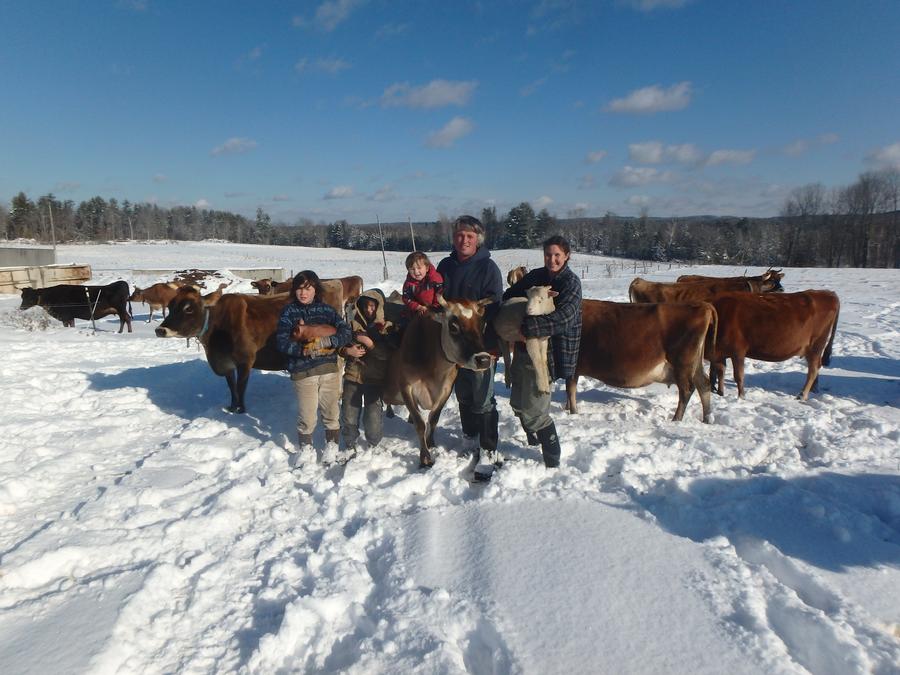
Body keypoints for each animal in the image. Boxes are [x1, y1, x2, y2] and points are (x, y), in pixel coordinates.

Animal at [156, 282, 342, 418]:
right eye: (170, 306)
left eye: (188, 308)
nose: (160, 330)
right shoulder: (226, 363)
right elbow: (231, 386)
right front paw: (232, 407)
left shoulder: (245, 359)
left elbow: (240, 386)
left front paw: (241, 410)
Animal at [380, 296, 492, 470]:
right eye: (453, 327)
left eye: (482, 324)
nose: (484, 359)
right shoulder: (406, 387)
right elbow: (420, 423)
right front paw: (425, 458)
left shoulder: (446, 389)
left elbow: (433, 419)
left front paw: (431, 443)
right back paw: (390, 412)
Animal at [564, 302, 716, 422]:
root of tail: (702, 306)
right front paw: (566, 409)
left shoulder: (572, 366)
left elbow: (570, 390)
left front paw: (573, 413)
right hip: (694, 364)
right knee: (704, 384)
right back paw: (707, 419)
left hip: (682, 364)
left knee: (687, 390)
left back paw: (676, 420)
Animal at [708, 292, 840, 402]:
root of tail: (829, 294)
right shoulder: (720, 353)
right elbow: (719, 372)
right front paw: (720, 392)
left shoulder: (738, 351)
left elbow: (738, 376)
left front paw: (741, 397)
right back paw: (813, 389)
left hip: (815, 346)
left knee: (813, 369)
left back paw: (802, 395)